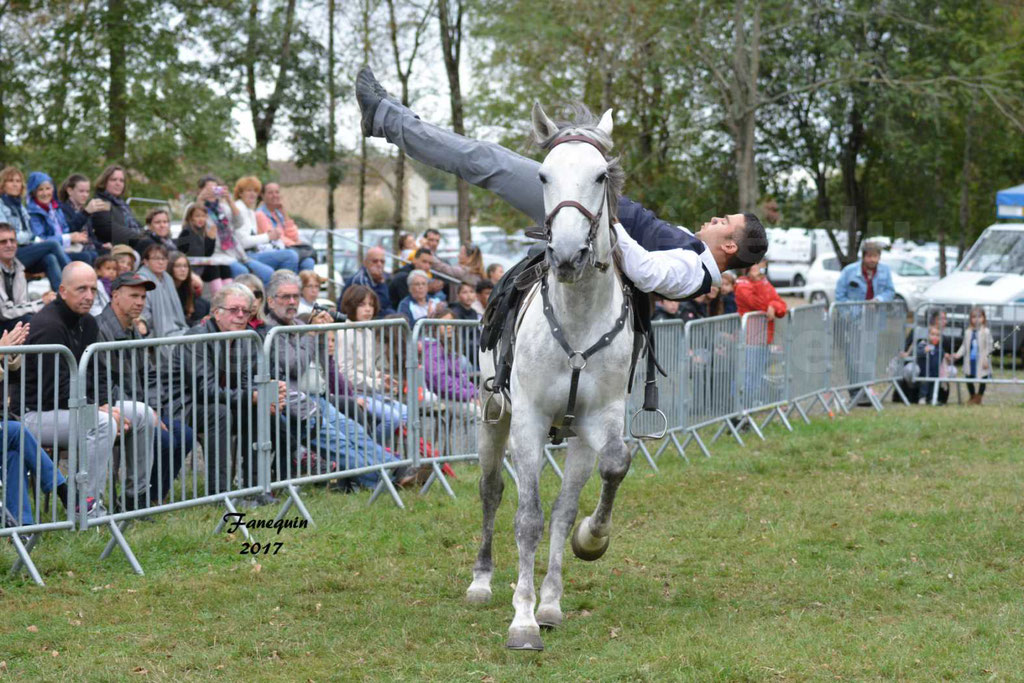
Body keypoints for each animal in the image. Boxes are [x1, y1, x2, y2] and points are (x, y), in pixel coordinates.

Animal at [468, 102, 630, 651]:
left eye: (600, 175)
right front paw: (522, 620)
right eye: (543, 175)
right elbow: (528, 518)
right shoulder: (530, 421)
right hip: (493, 420)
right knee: (492, 490)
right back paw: (481, 581)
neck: (578, 318)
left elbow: (605, 474)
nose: (566, 254)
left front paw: (590, 544)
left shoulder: (598, 420)